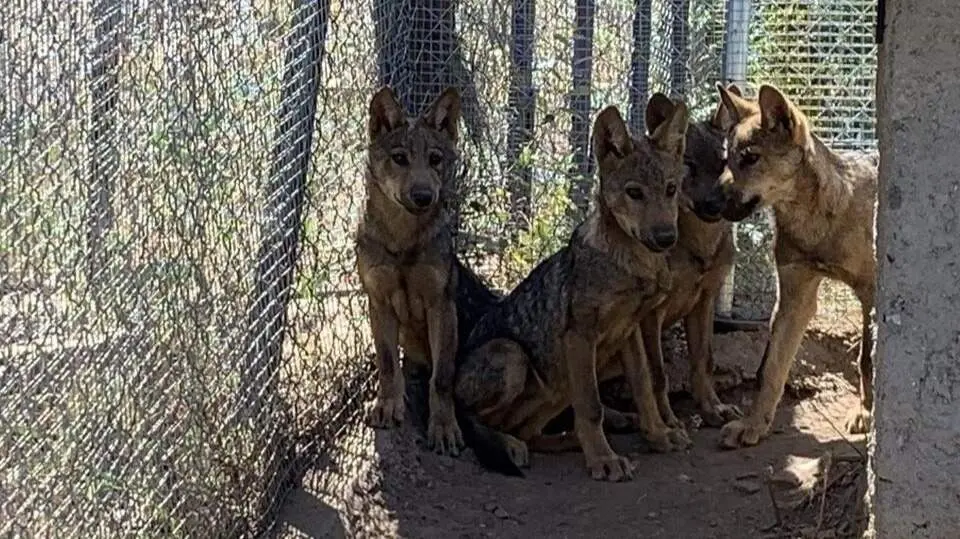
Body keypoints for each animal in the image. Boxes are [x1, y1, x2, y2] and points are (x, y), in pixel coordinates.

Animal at [453, 95, 692, 481]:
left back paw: (566, 441)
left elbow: (644, 387)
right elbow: (593, 407)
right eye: (634, 193)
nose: (666, 238)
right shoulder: (580, 336)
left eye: (671, 189)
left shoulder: (630, 334)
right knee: (473, 420)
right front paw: (604, 460)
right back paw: (512, 446)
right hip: (514, 357)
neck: (629, 264)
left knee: (532, 432)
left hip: (558, 388)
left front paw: (657, 435)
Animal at [713, 83, 878, 448]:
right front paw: (753, 424)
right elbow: (770, 370)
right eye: (726, 160)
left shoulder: (872, 293)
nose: (706, 201)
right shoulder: (794, 298)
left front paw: (869, 418)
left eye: (750, 158)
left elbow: (867, 361)